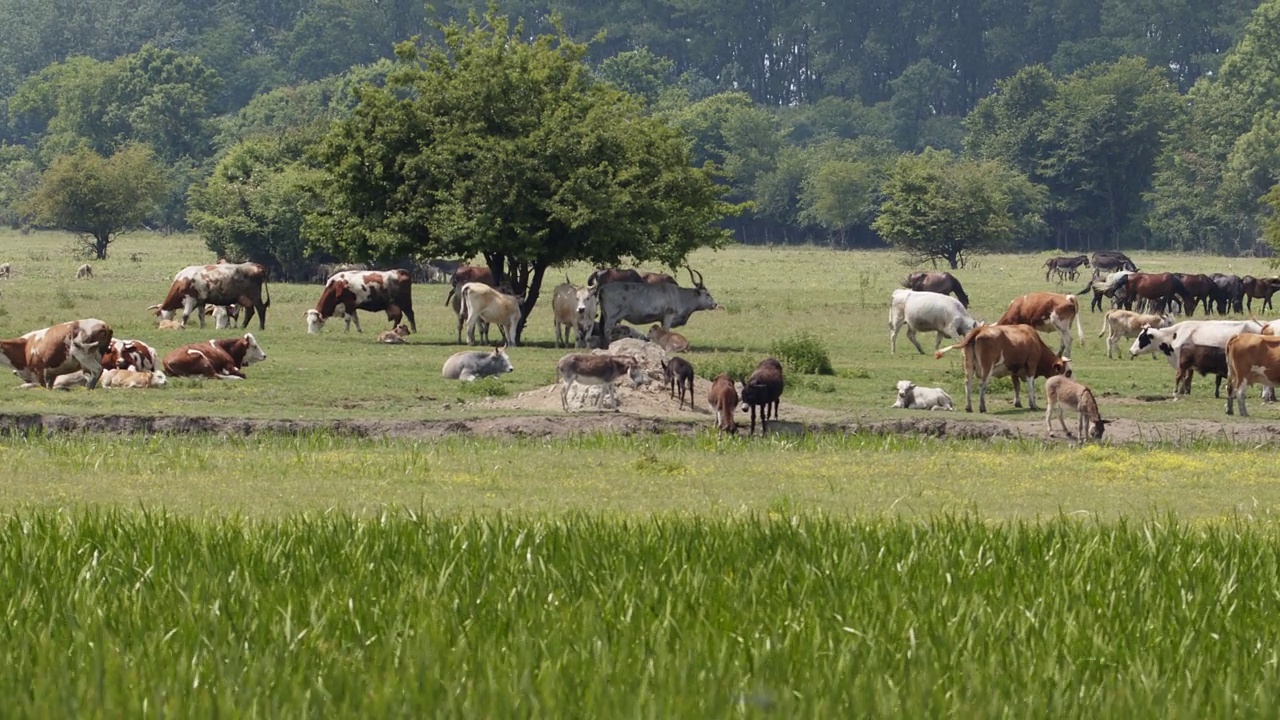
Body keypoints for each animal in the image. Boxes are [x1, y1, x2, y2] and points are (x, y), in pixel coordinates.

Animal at [931, 322, 1070, 412]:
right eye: (1068, 372)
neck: (1034, 340)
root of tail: (979, 330)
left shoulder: (1014, 370)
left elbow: (1017, 386)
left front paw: (1018, 403)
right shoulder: (1031, 365)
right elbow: (1031, 387)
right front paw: (1033, 405)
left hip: (968, 366)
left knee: (968, 384)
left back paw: (968, 407)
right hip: (987, 367)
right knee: (982, 386)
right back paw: (982, 407)